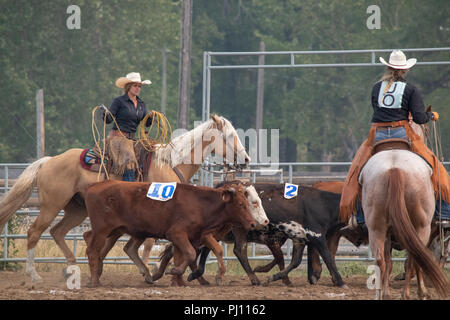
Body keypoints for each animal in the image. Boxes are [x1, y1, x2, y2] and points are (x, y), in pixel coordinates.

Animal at [82, 180, 255, 288]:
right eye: (241, 204)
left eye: (247, 204)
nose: (253, 224)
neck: (199, 204)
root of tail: (94, 185)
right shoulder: (176, 233)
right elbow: (190, 254)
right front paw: (175, 271)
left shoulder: (188, 237)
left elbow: (182, 256)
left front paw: (179, 282)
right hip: (102, 229)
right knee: (92, 250)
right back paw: (95, 282)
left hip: (120, 230)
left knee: (118, 247)